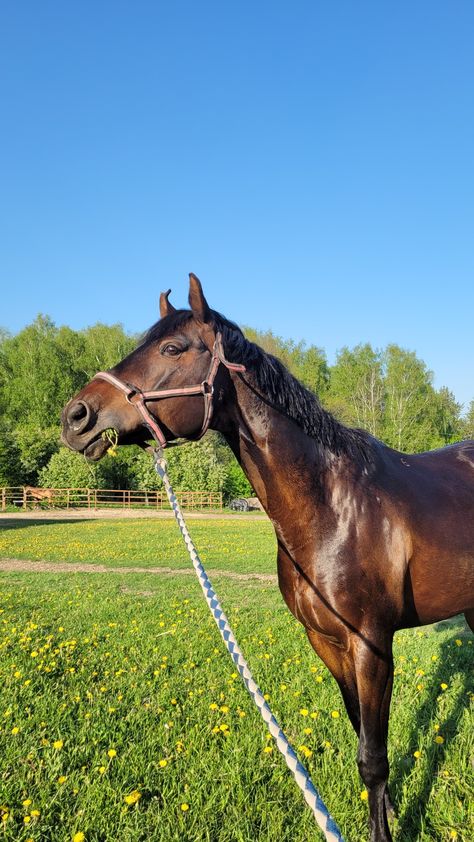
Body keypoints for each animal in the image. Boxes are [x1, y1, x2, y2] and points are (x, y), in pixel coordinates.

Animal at [60, 272, 474, 836]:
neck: (334, 506)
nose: (75, 416)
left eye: (172, 348)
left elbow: (372, 756)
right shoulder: (328, 643)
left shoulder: (371, 645)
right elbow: (365, 735)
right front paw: (388, 809)